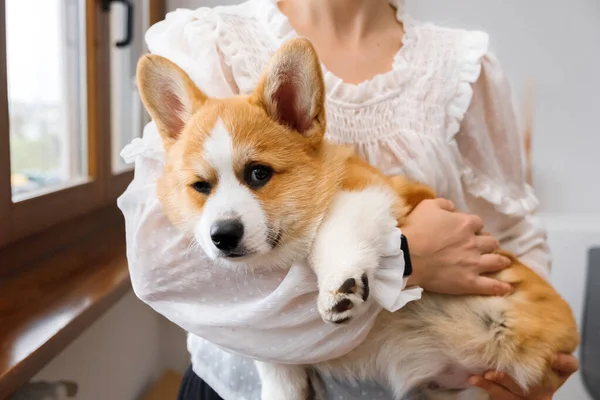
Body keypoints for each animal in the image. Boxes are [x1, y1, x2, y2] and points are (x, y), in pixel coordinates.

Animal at [137, 38, 580, 400]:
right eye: (200, 186)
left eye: (259, 174)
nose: (223, 236)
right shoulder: (267, 343)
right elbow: (276, 367)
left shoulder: (365, 193)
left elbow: (331, 233)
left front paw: (340, 286)